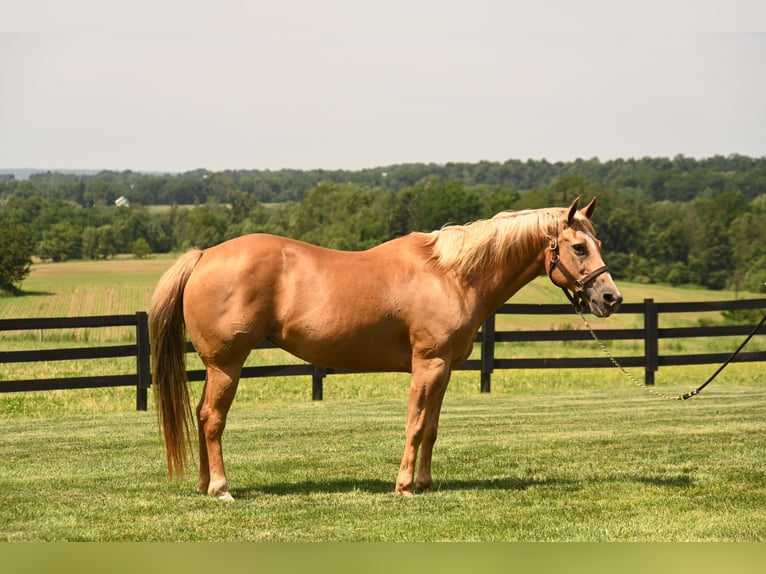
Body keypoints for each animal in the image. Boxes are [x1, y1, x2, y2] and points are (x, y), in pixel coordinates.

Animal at [149, 196, 622, 500]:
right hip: (226, 364)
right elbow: (414, 425)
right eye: (578, 246)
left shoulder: (444, 368)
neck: (451, 275)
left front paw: (425, 484)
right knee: (212, 419)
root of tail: (204, 255)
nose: (610, 298)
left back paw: (204, 485)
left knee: (202, 416)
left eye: (599, 243)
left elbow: (431, 428)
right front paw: (404, 487)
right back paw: (221, 488)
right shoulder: (427, 364)